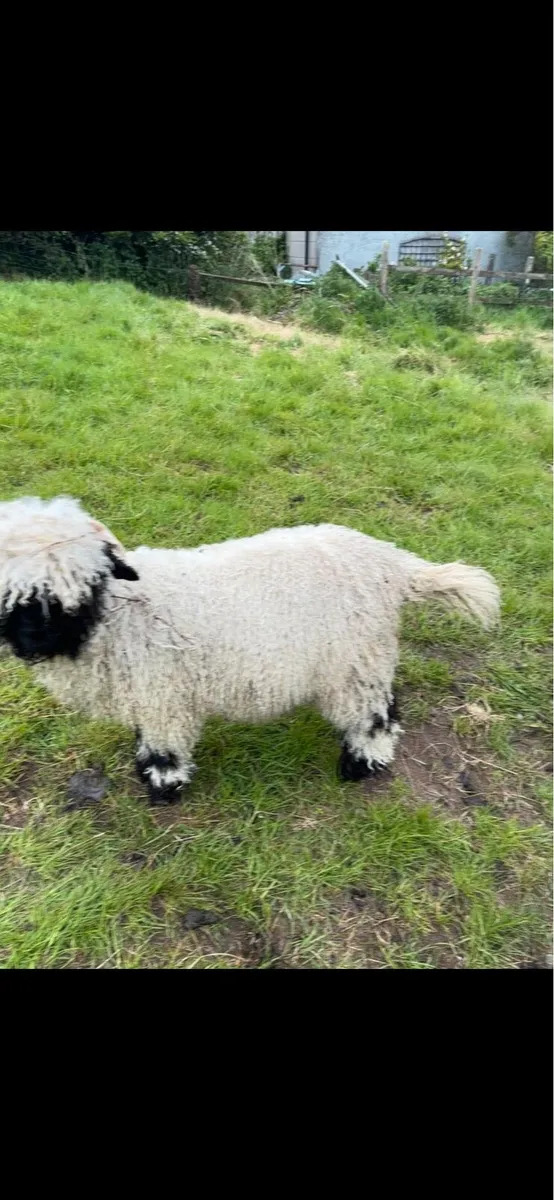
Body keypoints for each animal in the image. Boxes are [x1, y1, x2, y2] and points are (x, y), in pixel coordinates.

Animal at [0, 495, 500, 805]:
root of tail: (393, 564)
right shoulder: (149, 694)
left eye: (85, 589)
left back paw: (360, 765)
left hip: (354, 663)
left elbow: (165, 749)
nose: (32, 644)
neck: (119, 618)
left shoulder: (165, 697)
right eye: (14, 597)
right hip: (365, 659)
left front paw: (163, 788)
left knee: (374, 718)